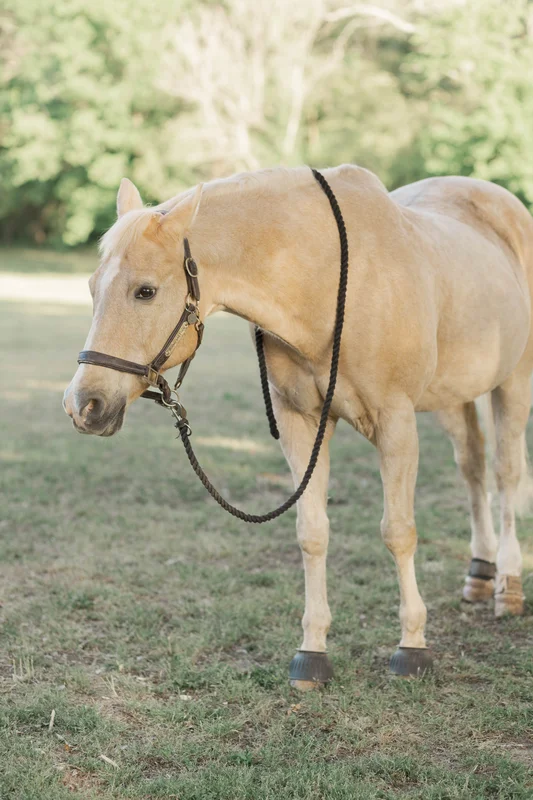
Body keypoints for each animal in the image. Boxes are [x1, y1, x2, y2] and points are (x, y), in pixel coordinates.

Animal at [64, 164, 533, 689]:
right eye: (92, 287)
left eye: (145, 291)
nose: (84, 403)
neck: (324, 282)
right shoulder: (300, 423)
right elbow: (312, 532)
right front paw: (313, 650)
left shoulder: (395, 421)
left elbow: (399, 531)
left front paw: (412, 646)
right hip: (453, 395)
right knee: (472, 466)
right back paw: (480, 573)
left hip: (513, 381)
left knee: (506, 473)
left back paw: (508, 584)